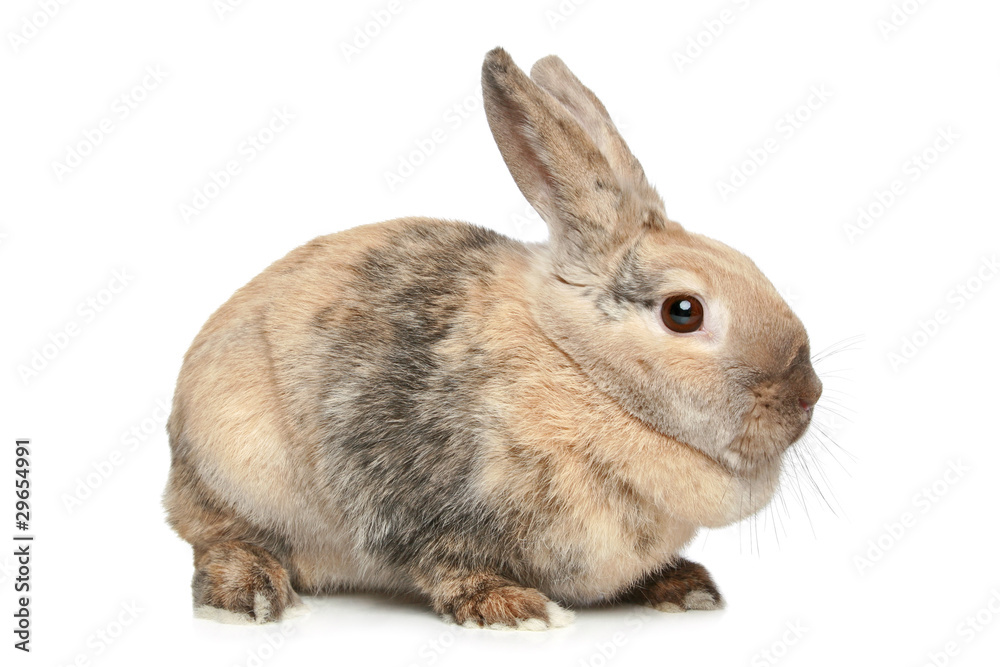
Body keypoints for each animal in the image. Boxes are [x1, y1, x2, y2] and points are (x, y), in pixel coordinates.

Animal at [163, 47, 822, 630]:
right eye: (683, 312)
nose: (808, 394)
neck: (583, 373)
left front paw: (683, 586)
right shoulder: (421, 503)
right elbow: (448, 566)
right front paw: (515, 609)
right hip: (236, 470)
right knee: (218, 538)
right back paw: (250, 594)